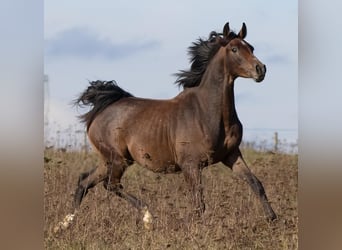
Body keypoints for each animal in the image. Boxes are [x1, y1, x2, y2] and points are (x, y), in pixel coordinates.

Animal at [54, 22, 278, 233]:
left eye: (251, 46)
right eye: (234, 49)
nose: (261, 69)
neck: (207, 111)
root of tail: (100, 110)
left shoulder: (231, 155)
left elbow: (256, 183)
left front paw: (273, 220)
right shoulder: (191, 165)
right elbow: (199, 203)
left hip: (109, 160)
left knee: (85, 181)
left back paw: (64, 224)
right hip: (117, 159)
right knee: (110, 184)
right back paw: (147, 217)